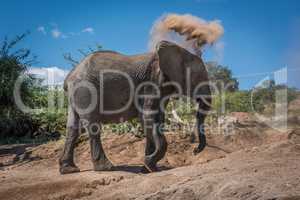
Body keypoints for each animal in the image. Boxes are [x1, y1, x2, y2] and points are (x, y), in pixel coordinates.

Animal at [59, 40, 211, 173]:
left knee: (73, 128)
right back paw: (106, 168)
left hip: (76, 94)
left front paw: (147, 169)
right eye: (197, 77)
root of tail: (69, 77)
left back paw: (69, 170)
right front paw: (149, 164)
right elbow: (147, 117)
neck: (180, 51)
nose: (195, 151)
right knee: (92, 126)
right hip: (85, 90)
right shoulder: (152, 82)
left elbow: (157, 119)